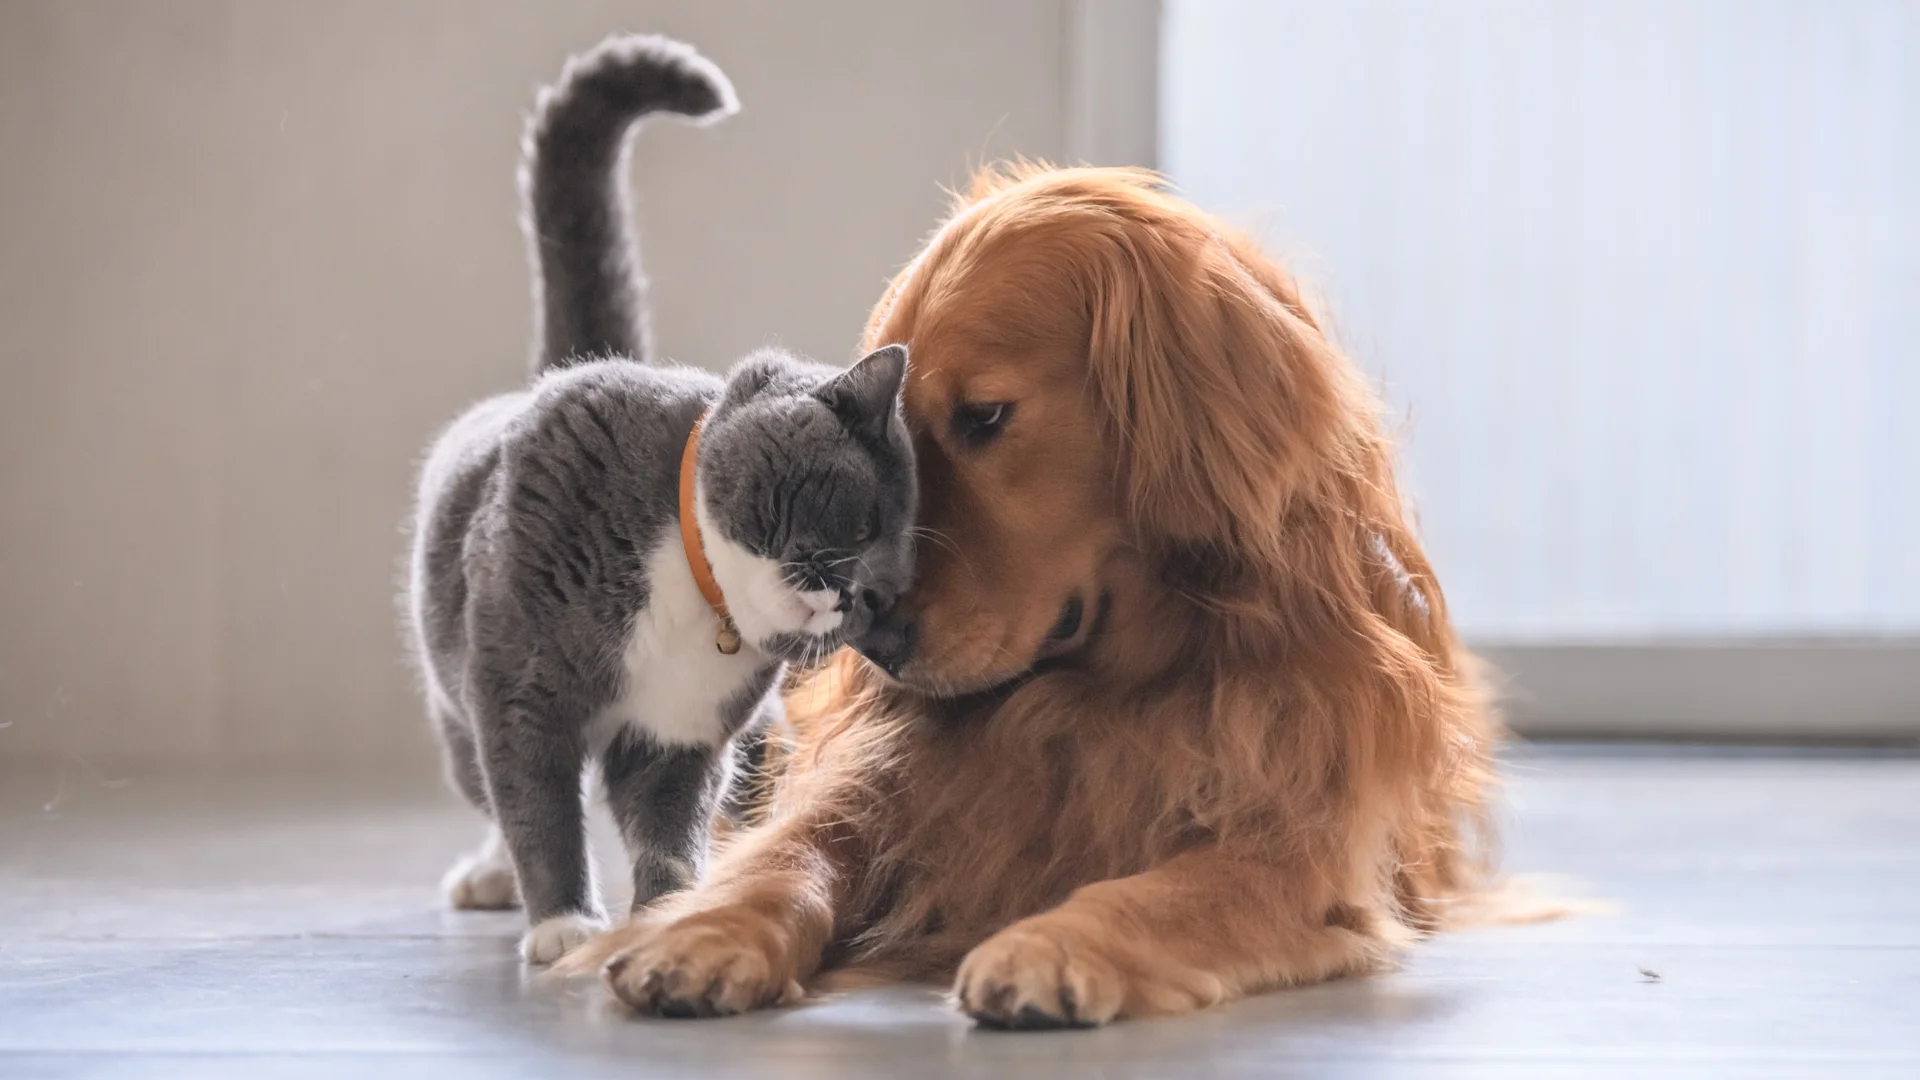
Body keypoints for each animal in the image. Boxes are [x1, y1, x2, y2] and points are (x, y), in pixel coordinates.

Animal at [403, 31, 913, 957]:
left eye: (893, 586)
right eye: (863, 526)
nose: (859, 596)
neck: (691, 592)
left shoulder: (682, 734)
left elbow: (668, 826)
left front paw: (669, 915)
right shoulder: (520, 691)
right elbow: (537, 805)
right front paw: (564, 923)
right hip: (455, 690)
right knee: (486, 785)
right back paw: (492, 876)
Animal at [568, 164, 1497, 1022]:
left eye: (984, 416)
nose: (874, 643)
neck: (1100, 691)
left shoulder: (1297, 847)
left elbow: (1159, 891)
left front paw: (1050, 946)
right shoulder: (878, 786)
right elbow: (786, 856)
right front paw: (700, 931)